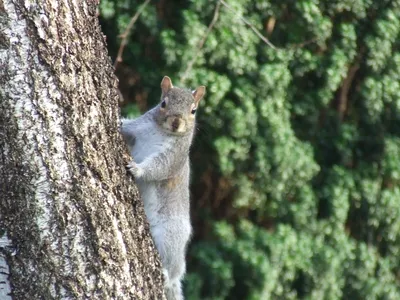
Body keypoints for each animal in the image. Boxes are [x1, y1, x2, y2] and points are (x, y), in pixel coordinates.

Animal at [120, 76, 205, 298]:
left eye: (193, 110)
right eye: (163, 103)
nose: (176, 122)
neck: (161, 131)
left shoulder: (174, 156)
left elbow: (159, 167)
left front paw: (138, 169)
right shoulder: (137, 128)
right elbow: (125, 127)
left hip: (170, 234)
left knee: (174, 268)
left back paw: (167, 274)